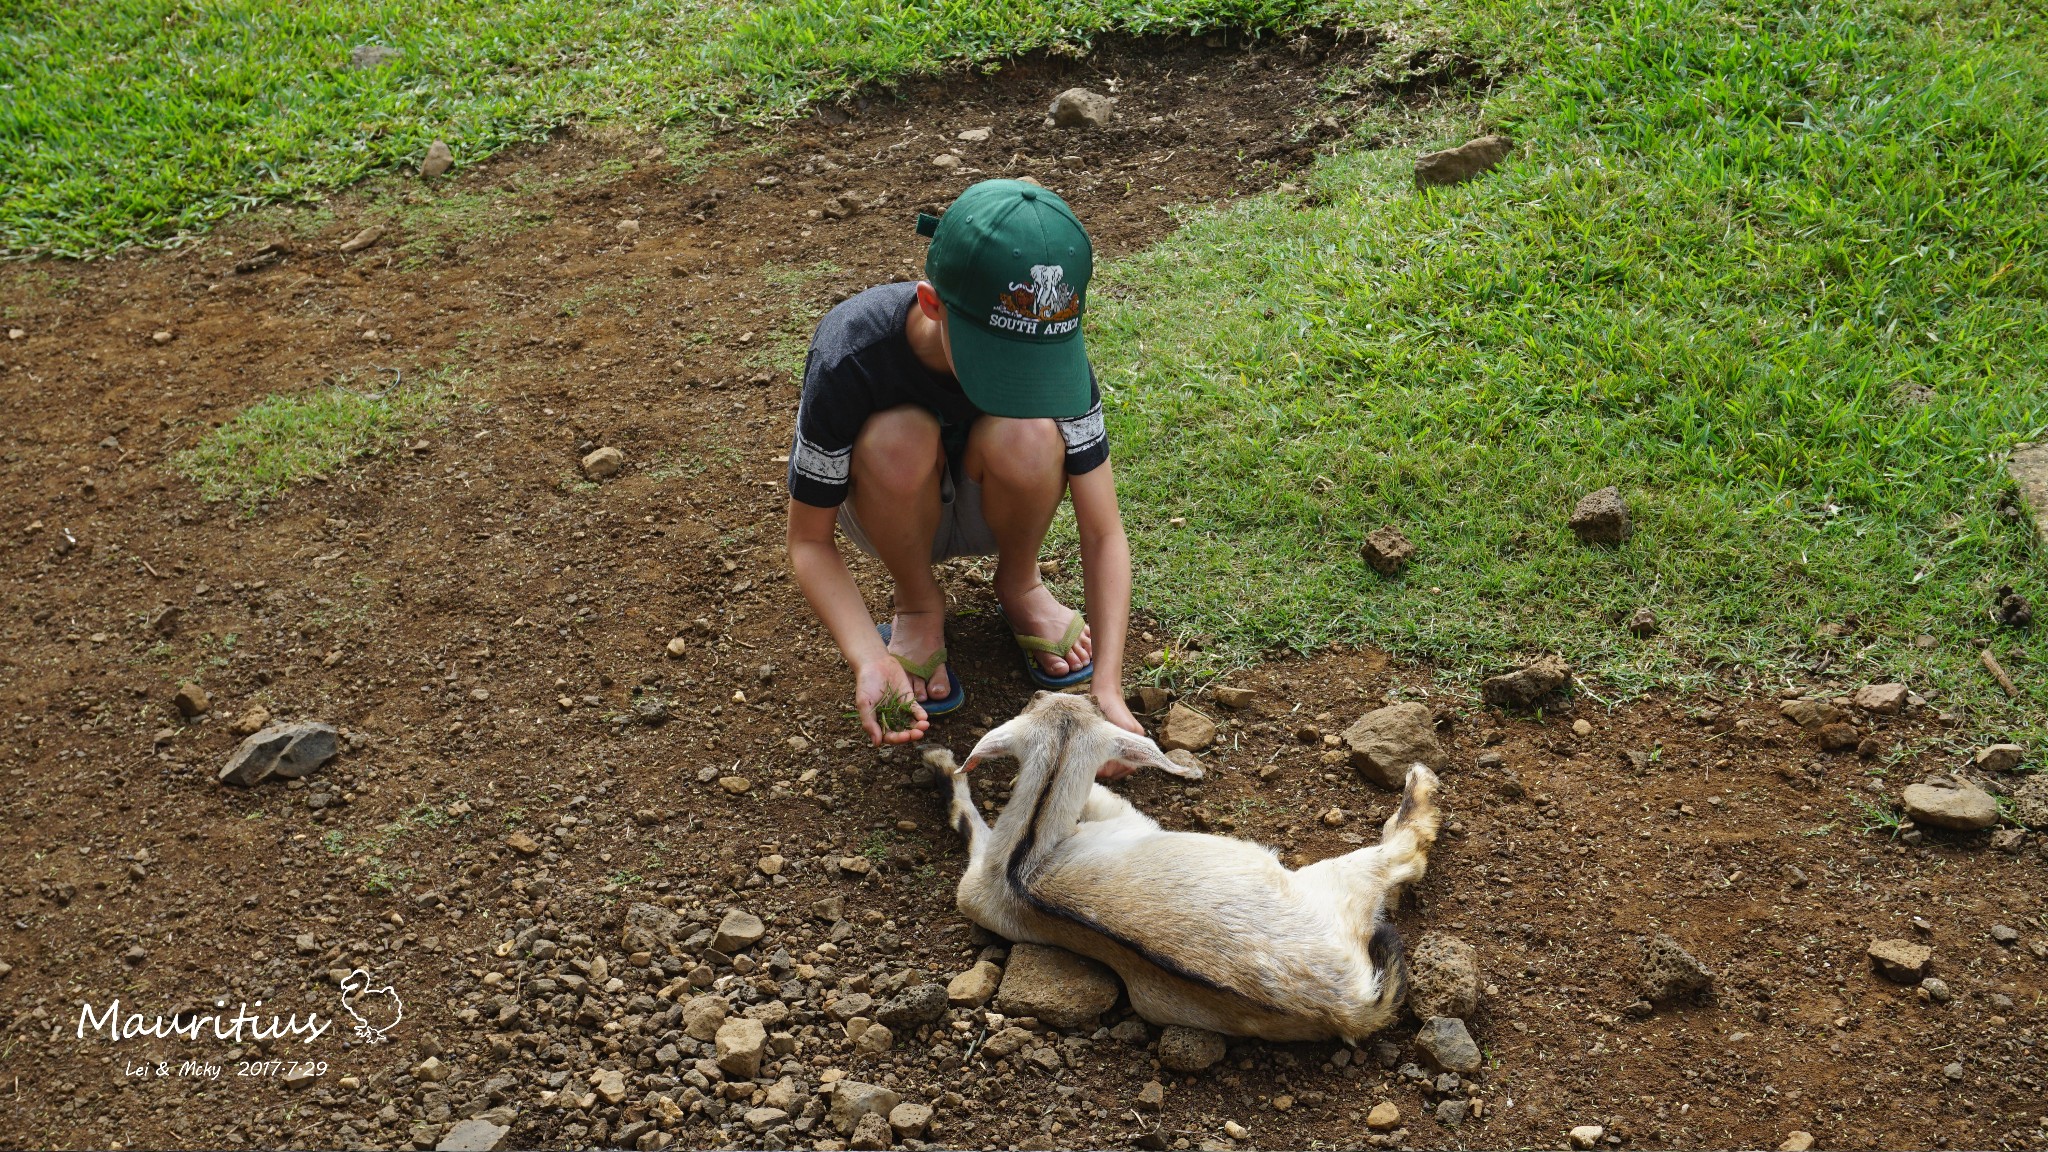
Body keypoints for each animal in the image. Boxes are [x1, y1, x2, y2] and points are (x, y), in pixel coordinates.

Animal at [937, 688, 1441, 1041]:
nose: (1086, 694)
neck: (1025, 855)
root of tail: (1349, 1009)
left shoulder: (975, 886)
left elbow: (966, 818)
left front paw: (939, 762)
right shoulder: (1121, 816)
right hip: (1336, 880)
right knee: (1404, 854)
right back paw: (1420, 781)